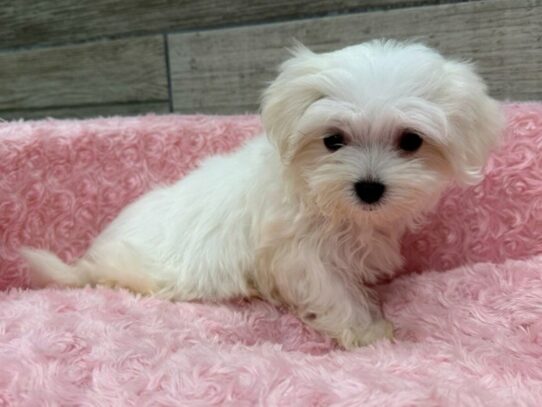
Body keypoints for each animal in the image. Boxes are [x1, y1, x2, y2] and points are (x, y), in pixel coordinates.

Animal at [22, 39, 506, 350]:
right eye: (333, 140)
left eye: (410, 141)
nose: (369, 188)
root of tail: (93, 258)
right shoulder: (298, 253)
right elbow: (332, 289)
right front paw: (368, 333)